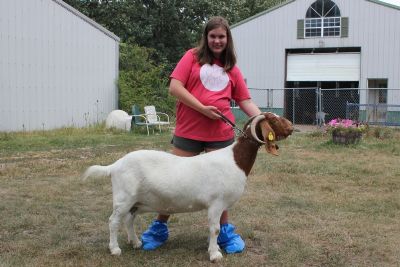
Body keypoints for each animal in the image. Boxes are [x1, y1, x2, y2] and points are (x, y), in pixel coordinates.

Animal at [82, 112, 294, 262]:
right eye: (274, 119)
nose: (292, 127)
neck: (235, 160)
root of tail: (114, 166)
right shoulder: (216, 203)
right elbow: (215, 229)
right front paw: (214, 254)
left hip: (136, 201)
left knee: (129, 219)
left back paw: (135, 242)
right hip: (123, 197)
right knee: (113, 221)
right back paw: (115, 249)